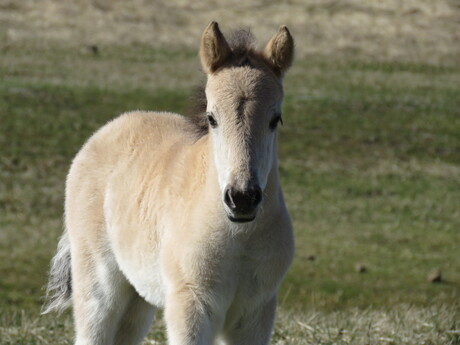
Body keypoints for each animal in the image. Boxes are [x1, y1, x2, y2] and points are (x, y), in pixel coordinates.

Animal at [43, 21, 294, 344]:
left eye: (276, 119)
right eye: (211, 118)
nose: (242, 199)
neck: (239, 237)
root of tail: (103, 134)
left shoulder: (255, 312)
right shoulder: (190, 305)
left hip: (137, 298)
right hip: (98, 287)